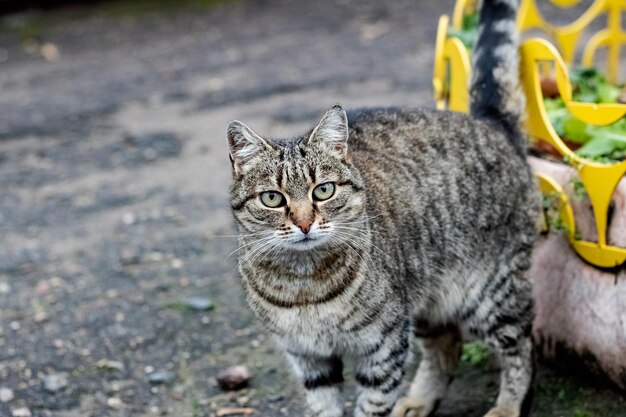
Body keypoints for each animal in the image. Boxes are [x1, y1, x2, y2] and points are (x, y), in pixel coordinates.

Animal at [224, 0, 536, 416]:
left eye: (323, 191)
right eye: (272, 198)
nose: (305, 223)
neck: (304, 284)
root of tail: (488, 120)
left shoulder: (384, 346)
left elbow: (371, 404)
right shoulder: (309, 358)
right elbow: (325, 406)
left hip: (490, 293)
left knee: (521, 344)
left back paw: (507, 406)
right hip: (425, 297)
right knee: (447, 343)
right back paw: (419, 399)